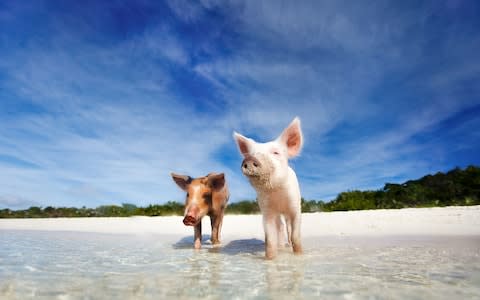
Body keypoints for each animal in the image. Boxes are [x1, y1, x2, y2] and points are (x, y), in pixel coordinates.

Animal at [233, 118, 304, 258]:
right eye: (251, 154)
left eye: (276, 152)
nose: (250, 159)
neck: (276, 191)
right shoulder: (266, 210)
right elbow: (270, 239)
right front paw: (270, 258)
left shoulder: (295, 206)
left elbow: (295, 235)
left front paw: (299, 255)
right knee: (280, 227)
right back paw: (281, 246)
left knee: (287, 227)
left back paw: (287, 246)